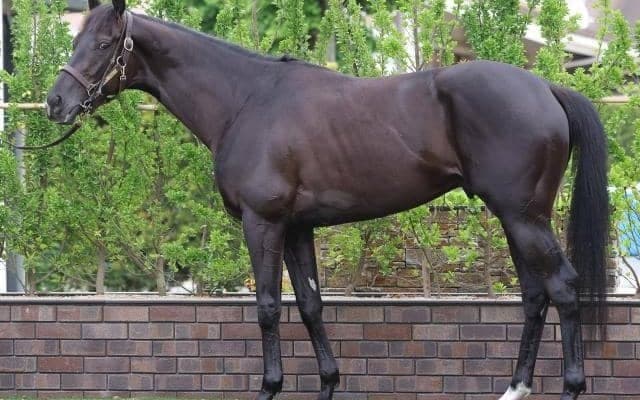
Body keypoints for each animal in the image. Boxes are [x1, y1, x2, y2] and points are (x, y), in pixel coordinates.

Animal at [45, 1, 609, 399]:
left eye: (102, 43)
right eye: (75, 38)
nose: (55, 103)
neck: (247, 101)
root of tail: (546, 88)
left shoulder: (263, 223)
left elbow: (268, 307)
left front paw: (270, 388)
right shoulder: (298, 227)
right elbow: (312, 305)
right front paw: (328, 383)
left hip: (524, 217)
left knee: (563, 288)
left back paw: (570, 387)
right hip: (517, 218)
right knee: (535, 296)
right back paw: (515, 388)